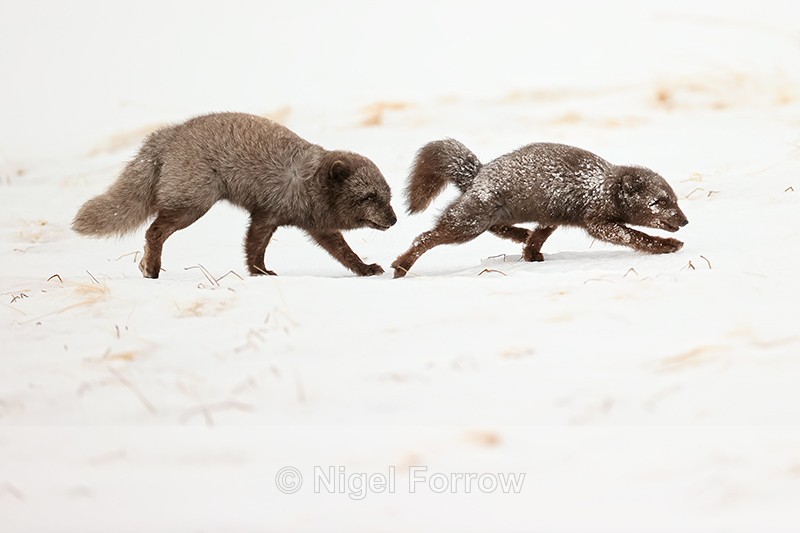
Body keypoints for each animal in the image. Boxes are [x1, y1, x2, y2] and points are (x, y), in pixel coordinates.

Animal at [73, 112, 397, 278]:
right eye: (369, 197)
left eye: (388, 197)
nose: (394, 220)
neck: (308, 183)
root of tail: (169, 134)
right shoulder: (266, 214)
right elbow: (254, 247)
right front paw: (260, 274)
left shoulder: (315, 226)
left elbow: (344, 253)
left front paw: (365, 269)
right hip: (193, 204)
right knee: (154, 231)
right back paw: (151, 269)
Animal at [392, 139, 688, 278]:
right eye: (660, 202)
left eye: (675, 200)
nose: (685, 221)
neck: (603, 187)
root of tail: (478, 173)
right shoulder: (597, 223)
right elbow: (635, 236)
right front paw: (666, 245)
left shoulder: (552, 216)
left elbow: (539, 237)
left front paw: (530, 254)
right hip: (468, 224)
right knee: (425, 237)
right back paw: (400, 266)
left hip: (485, 218)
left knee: (498, 229)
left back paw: (520, 236)